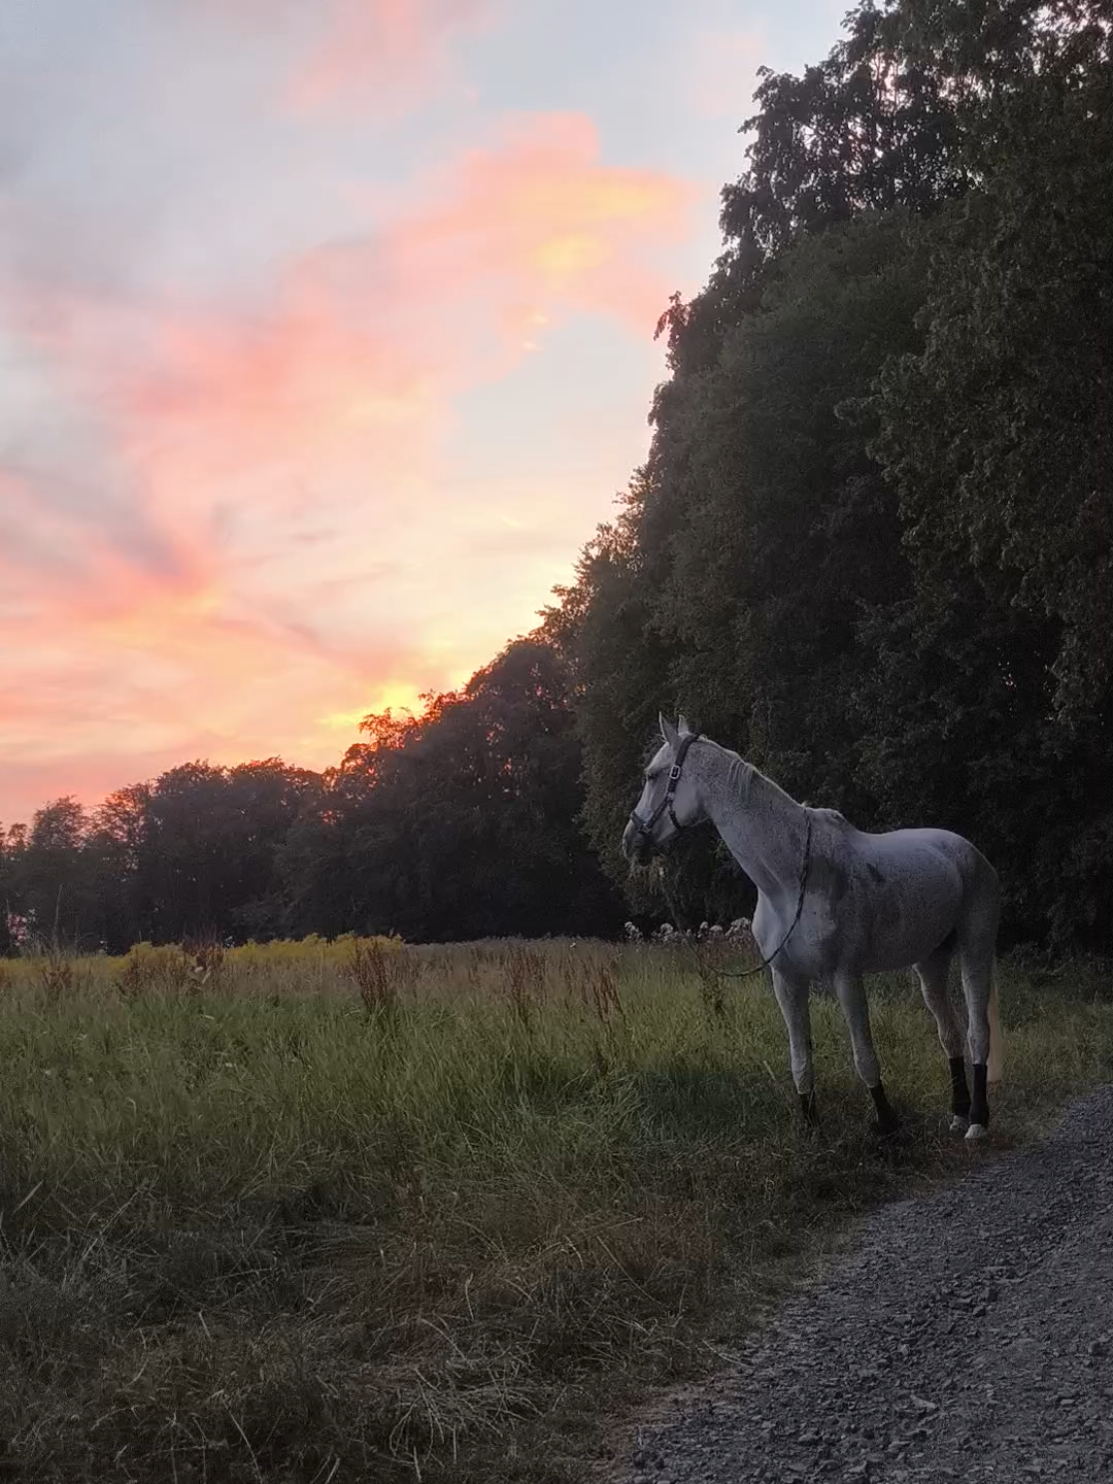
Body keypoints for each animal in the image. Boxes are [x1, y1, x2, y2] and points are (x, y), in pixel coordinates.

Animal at [622, 715, 1003, 1139]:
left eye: (652, 775)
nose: (630, 840)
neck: (788, 879)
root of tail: (968, 851)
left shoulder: (846, 978)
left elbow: (864, 1055)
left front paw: (887, 1123)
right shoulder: (787, 981)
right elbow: (800, 1058)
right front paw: (810, 1127)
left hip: (975, 948)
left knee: (976, 1033)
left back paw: (977, 1120)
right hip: (930, 961)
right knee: (949, 1033)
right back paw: (958, 1113)